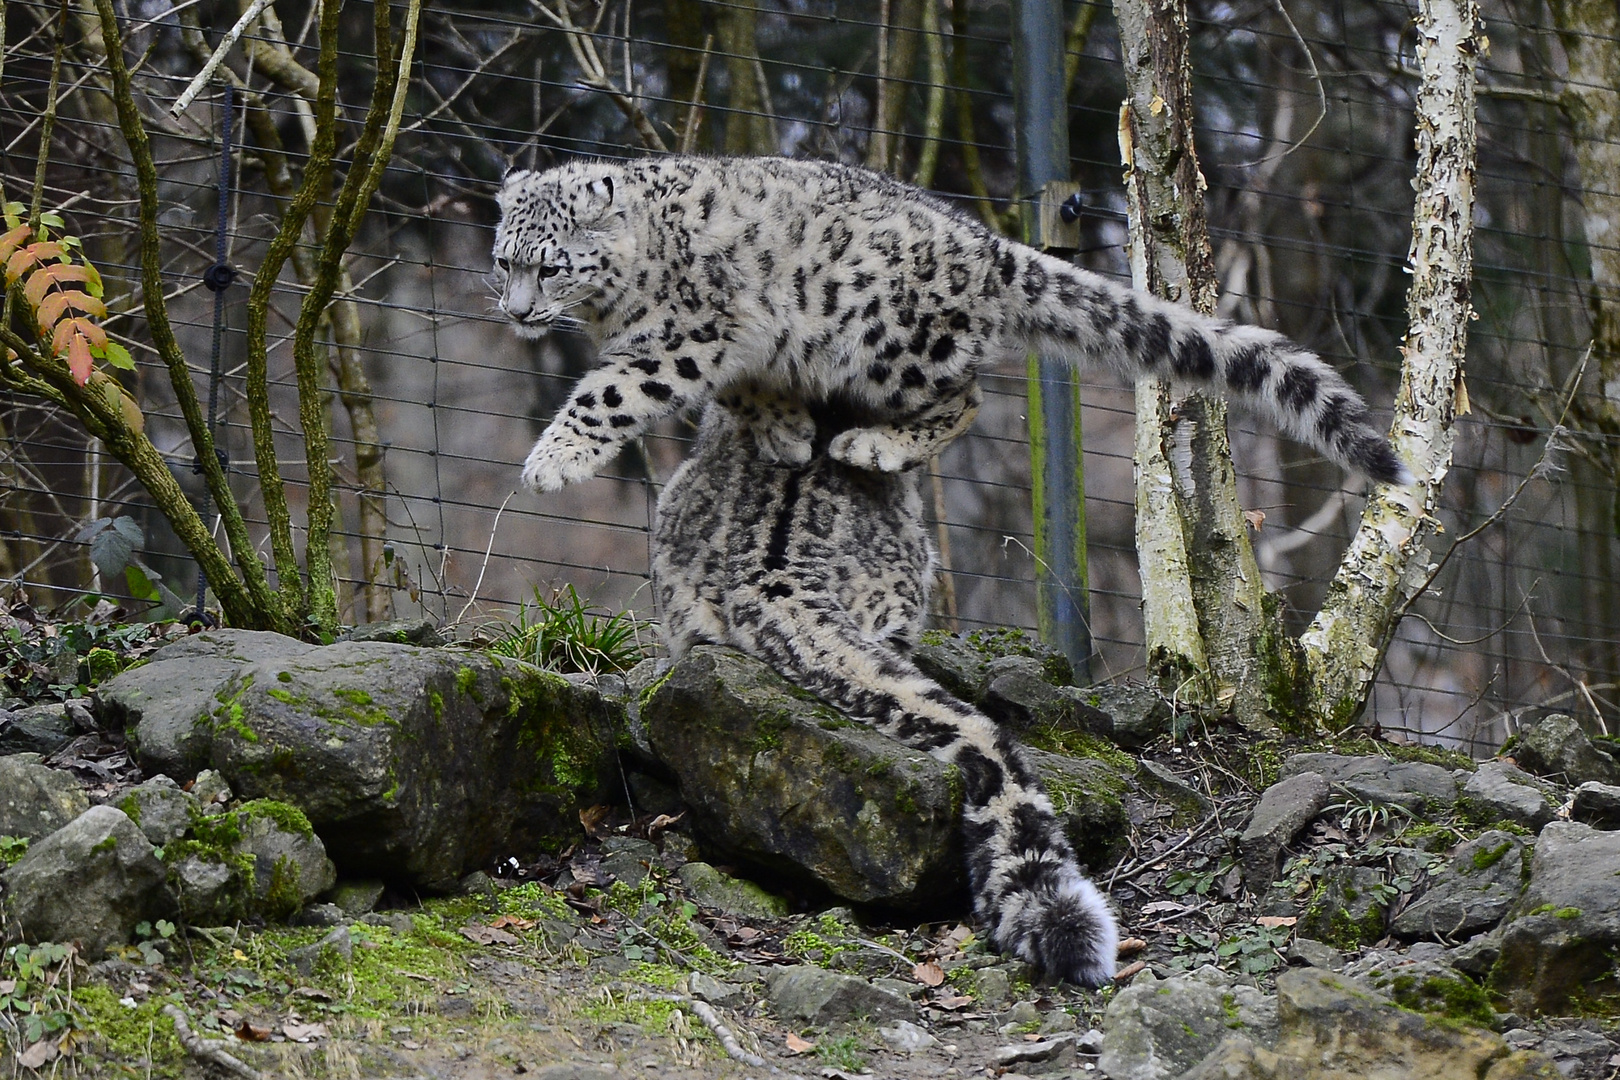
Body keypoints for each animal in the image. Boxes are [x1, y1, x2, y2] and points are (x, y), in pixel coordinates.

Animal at [495, 153, 1419, 492]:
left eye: (550, 264)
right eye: (505, 260)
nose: (514, 312)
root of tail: (991, 247)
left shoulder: (679, 337)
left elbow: (608, 393)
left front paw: (549, 461)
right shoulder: (740, 346)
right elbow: (748, 389)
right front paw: (785, 429)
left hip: (886, 344)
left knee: (966, 398)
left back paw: (873, 445)